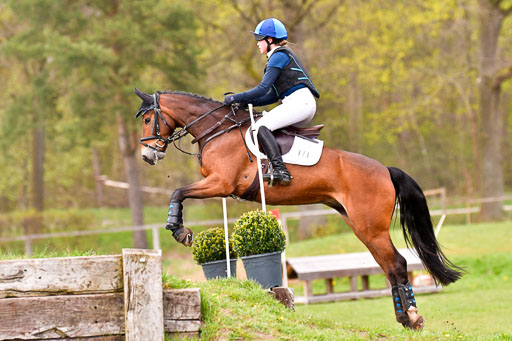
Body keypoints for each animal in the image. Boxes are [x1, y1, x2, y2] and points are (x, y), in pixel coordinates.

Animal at [134, 87, 462, 330]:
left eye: (148, 120)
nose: (147, 155)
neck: (218, 130)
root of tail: (385, 170)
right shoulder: (217, 185)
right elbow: (181, 192)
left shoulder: (220, 183)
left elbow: (178, 192)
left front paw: (178, 230)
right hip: (361, 227)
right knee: (389, 266)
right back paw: (405, 318)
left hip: (371, 227)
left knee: (397, 264)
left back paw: (412, 318)